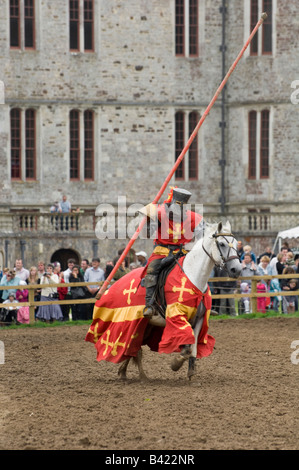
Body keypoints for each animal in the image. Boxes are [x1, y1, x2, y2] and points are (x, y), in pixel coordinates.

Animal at [118, 222, 244, 380]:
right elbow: (186, 342)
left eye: (236, 243)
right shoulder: (177, 315)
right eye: (221, 243)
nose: (236, 269)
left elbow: (193, 345)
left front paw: (190, 369)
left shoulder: (199, 319)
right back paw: (137, 375)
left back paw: (128, 373)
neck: (193, 276)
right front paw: (176, 363)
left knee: (135, 348)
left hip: (147, 325)